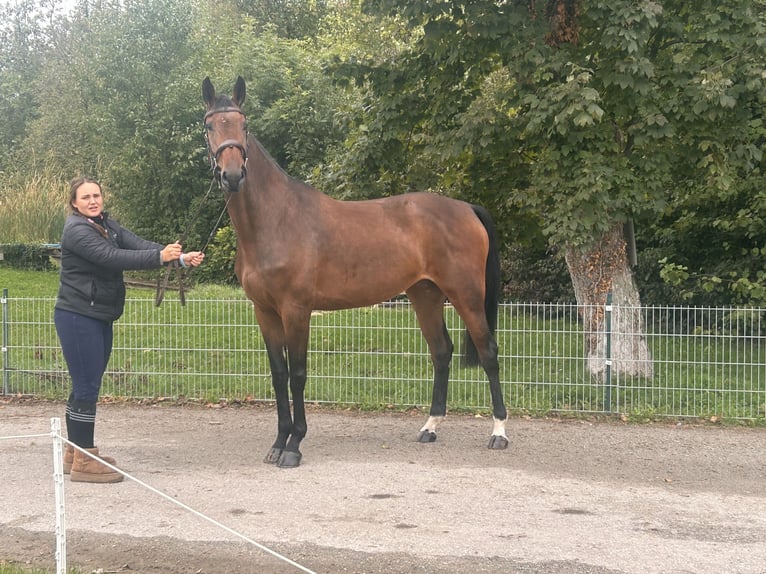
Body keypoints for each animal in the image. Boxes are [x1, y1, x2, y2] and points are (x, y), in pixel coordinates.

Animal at [202, 75, 510, 468]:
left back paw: (499, 432)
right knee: (441, 352)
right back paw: (430, 427)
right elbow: (278, 374)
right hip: (425, 295)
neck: (276, 219)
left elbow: (298, 375)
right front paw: (278, 441)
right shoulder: (265, 311)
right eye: (210, 126)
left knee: (488, 353)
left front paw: (294, 445)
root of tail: (467, 208)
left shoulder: (297, 310)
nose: (232, 175)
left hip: (466, 296)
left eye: (244, 125)